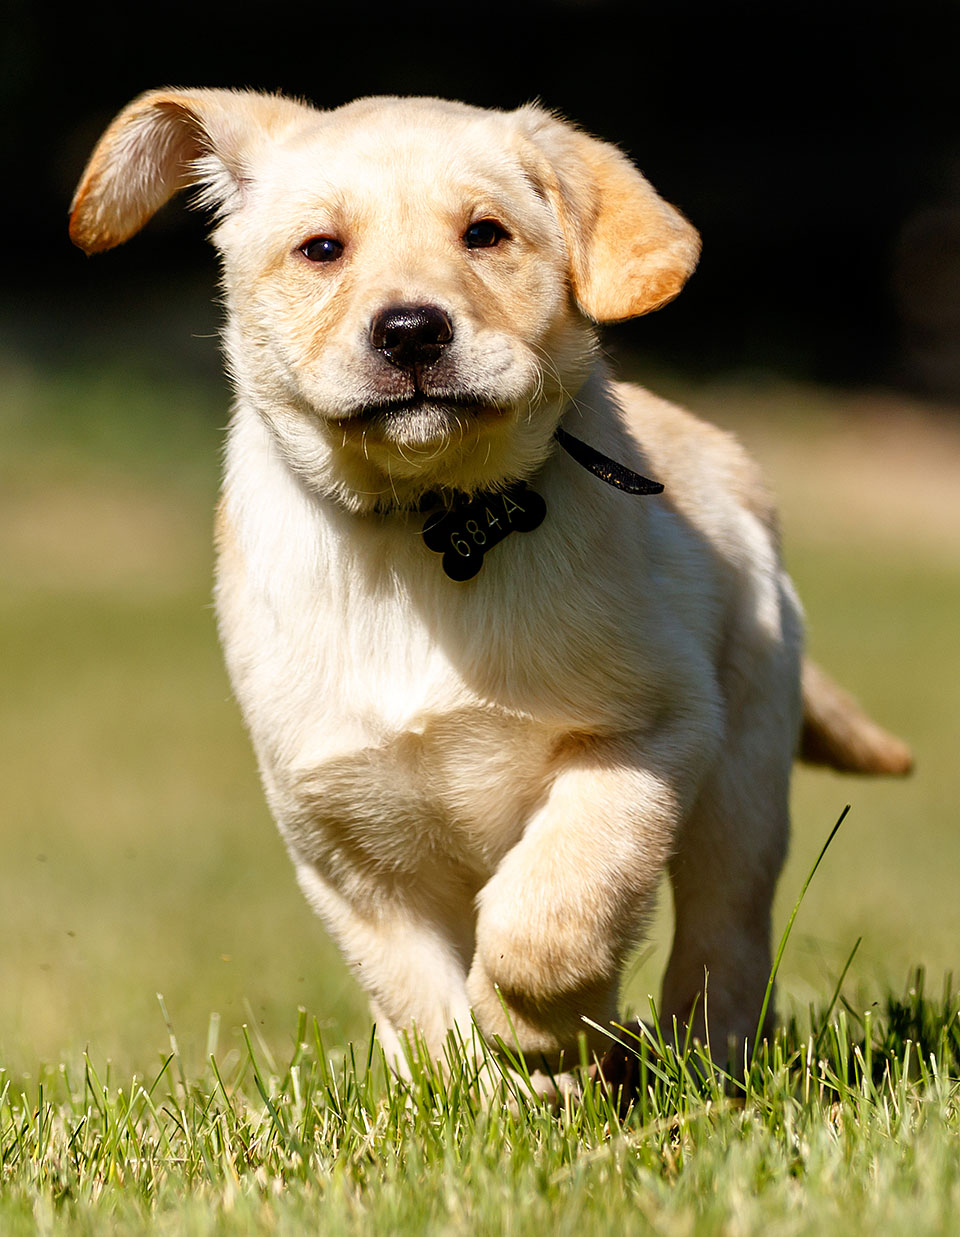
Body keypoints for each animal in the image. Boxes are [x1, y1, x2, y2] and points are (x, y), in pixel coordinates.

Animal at [71, 87, 910, 1078]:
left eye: (485, 234)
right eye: (322, 248)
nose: (410, 331)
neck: (426, 526)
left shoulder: (647, 732)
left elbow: (553, 909)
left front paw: (542, 1029)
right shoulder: (342, 835)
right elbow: (423, 1004)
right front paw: (482, 1088)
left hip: (743, 778)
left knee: (723, 945)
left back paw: (697, 1064)